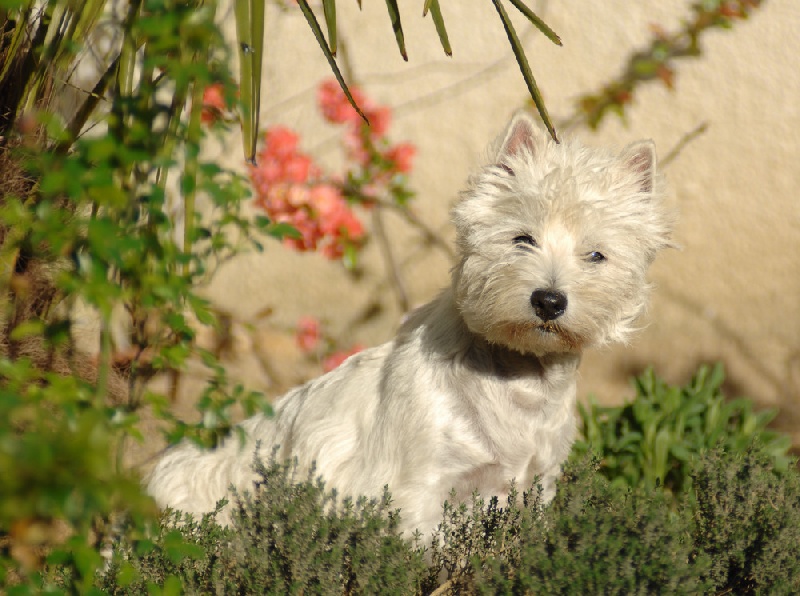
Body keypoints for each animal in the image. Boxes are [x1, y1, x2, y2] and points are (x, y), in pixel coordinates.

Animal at [147, 112, 672, 536]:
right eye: (522, 239)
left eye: (596, 255)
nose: (548, 301)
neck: (520, 380)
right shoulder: (420, 487)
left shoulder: (535, 485)